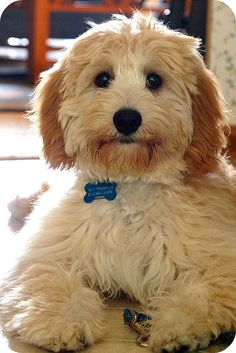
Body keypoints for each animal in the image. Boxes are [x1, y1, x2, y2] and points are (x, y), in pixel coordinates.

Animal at [0, 11, 236, 352]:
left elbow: (202, 292)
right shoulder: (48, 250)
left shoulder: (220, 255)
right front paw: (62, 321)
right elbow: (47, 277)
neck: (128, 184)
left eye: (154, 80)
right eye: (102, 79)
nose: (126, 119)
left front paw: (176, 325)